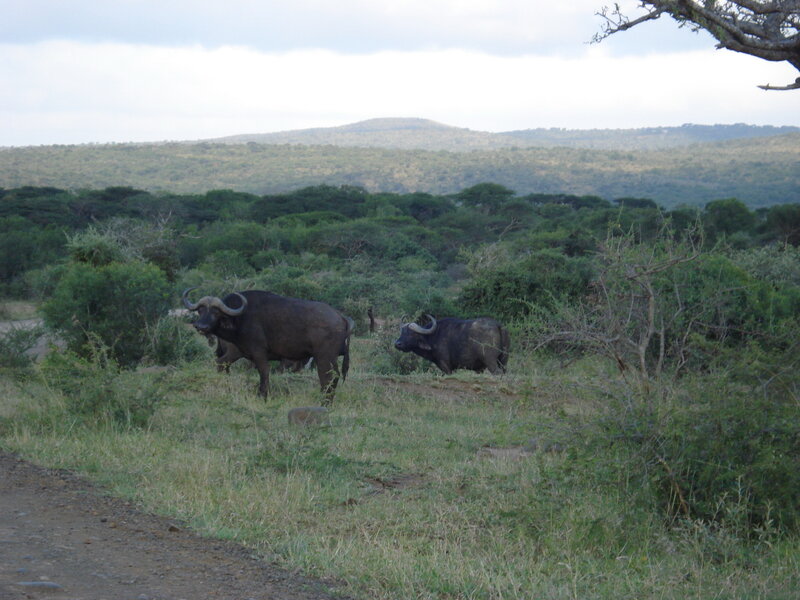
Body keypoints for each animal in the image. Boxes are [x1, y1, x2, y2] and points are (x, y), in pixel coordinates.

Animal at [183, 288, 352, 401]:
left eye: (216, 312)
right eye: (200, 310)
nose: (200, 326)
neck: (240, 318)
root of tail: (341, 317)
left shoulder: (259, 353)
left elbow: (264, 372)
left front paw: (263, 395)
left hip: (324, 357)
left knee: (328, 377)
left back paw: (325, 400)